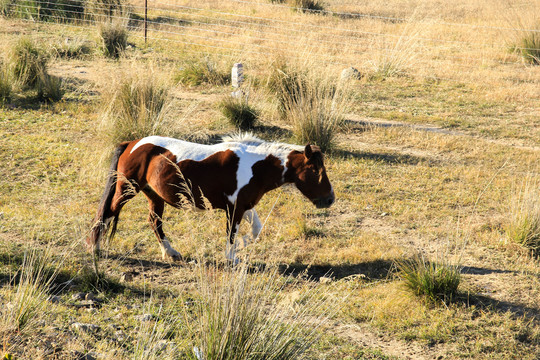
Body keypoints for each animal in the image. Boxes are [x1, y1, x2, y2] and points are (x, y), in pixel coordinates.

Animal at [85, 134, 334, 262]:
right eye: (315, 170)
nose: (330, 199)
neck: (257, 167)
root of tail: (131, 144)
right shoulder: (234, 209)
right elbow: (232, 235)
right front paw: (231, 256)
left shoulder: (244, 205)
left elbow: (256, 230)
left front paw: (240, 248)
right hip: (127, 189)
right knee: (108, 213)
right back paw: (95, 248)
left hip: (154, 195)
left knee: (155, 222)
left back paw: (170, 252)